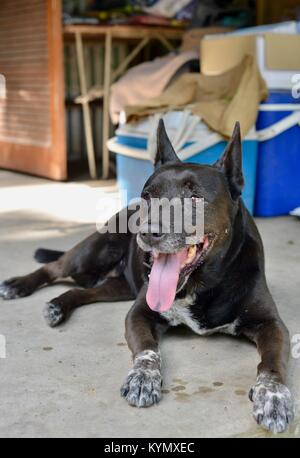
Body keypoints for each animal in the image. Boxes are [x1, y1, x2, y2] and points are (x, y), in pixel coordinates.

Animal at [0, 119, 294, 432]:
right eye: (147, 196)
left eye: (195, 197)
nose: (147, 232)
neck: (203, 284)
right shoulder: (139, 312)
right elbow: (147, 350)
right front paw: (143, 377)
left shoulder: (272, 324)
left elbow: (272, 363)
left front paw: (273, 396)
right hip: (90, 253)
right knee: (53, 267)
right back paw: (18, 286)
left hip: (118, 287)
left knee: (83, 291)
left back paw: (58, 306)